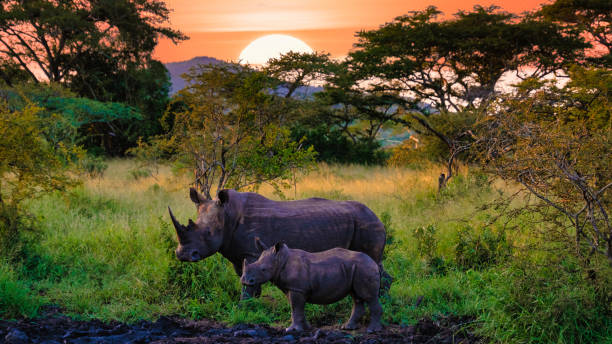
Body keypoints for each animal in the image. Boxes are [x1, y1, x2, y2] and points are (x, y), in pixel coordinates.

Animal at [243, 241, 382, 332]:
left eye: (263, 269)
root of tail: (374, 262)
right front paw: (306, 328)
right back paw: (347, 327)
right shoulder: (293, 288)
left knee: (370, 297)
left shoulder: (297, 289)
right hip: (356, 268)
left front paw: (292, 330)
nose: (245, 281)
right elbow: (296, 308)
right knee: (356, 297)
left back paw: (372, 330)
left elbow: (295, 308)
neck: (280, 260)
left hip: (364, 268)